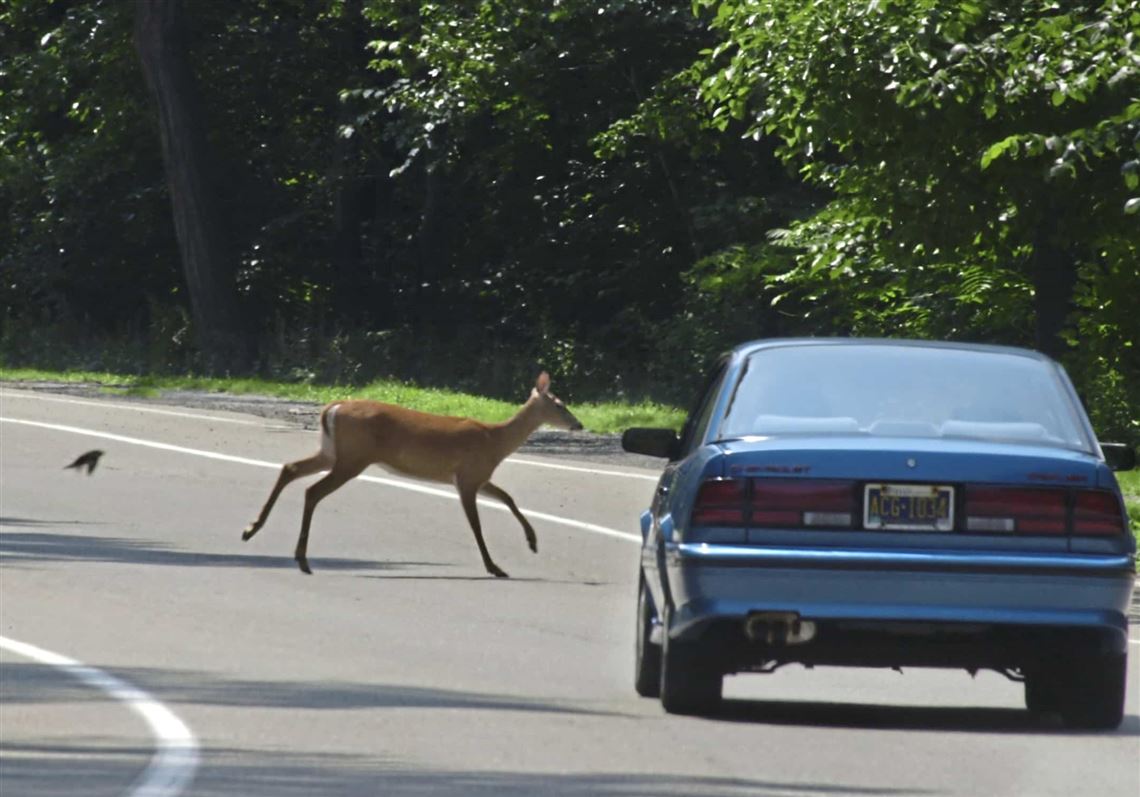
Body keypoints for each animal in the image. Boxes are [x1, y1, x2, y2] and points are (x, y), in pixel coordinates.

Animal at [241, 372, 583, 577]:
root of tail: (331, 408)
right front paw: (493, 566)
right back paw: (300, 558)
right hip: (353, 458)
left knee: (290, 468)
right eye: (561, 404)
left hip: (331, 452)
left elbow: (509, 498)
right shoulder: (467, 476)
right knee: (312, 490)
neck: (495, 440)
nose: (579, 424)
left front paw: (532, 541)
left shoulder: (479, 476)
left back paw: (251, 529)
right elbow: (476, 525)